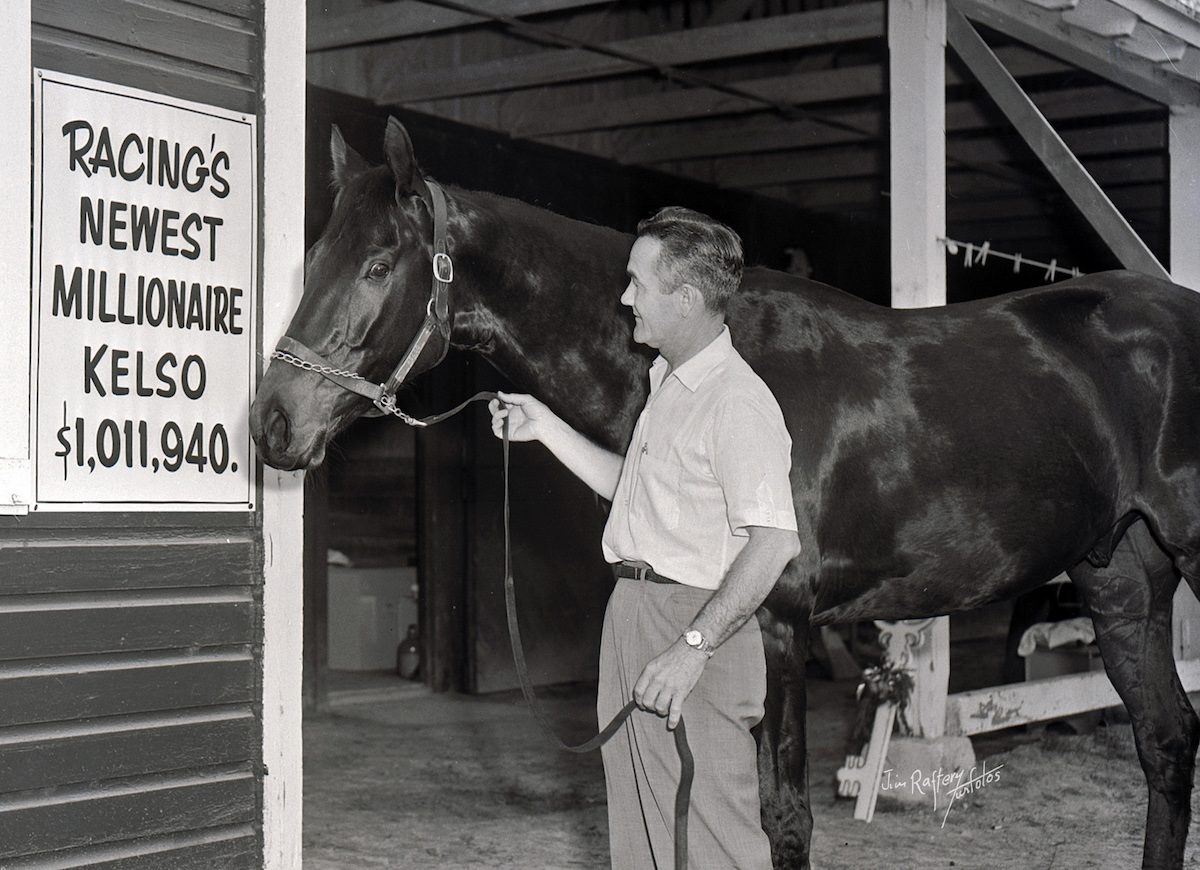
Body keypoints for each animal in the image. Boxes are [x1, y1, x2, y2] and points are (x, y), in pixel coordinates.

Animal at [250, 117, 1200, 868]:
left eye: (379, 265)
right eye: (313, 257)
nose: (271, 423)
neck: (722, 356)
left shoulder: (775, 625)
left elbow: (783, 820)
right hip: (1122, 581)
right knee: (1166, 743)